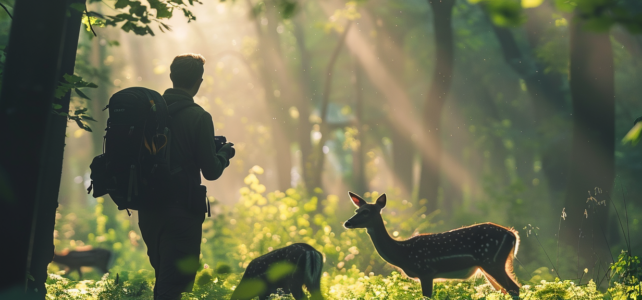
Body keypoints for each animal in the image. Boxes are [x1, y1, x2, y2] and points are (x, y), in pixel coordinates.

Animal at [342, 192, 516, 298]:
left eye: (366, 212)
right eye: (357, 210)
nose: (347, 223)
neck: (403, 253)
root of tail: (513, 235)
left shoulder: (426, 271)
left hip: (491, 261)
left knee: (514, 288)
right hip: (489, 266)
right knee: (505, 290)